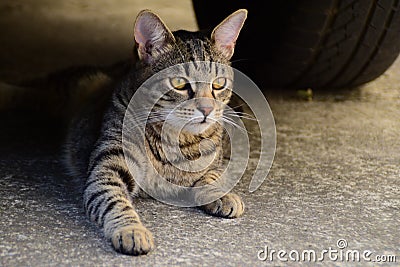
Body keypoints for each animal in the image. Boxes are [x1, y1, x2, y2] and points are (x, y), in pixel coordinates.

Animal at [63, 8, 247, 255]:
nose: (207, 109)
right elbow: (114, 201)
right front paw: (131, 229)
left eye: (218, 83)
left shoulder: (217, 161)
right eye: (179, 83)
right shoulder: (107, 170)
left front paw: (223, 194)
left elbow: (212, 176)